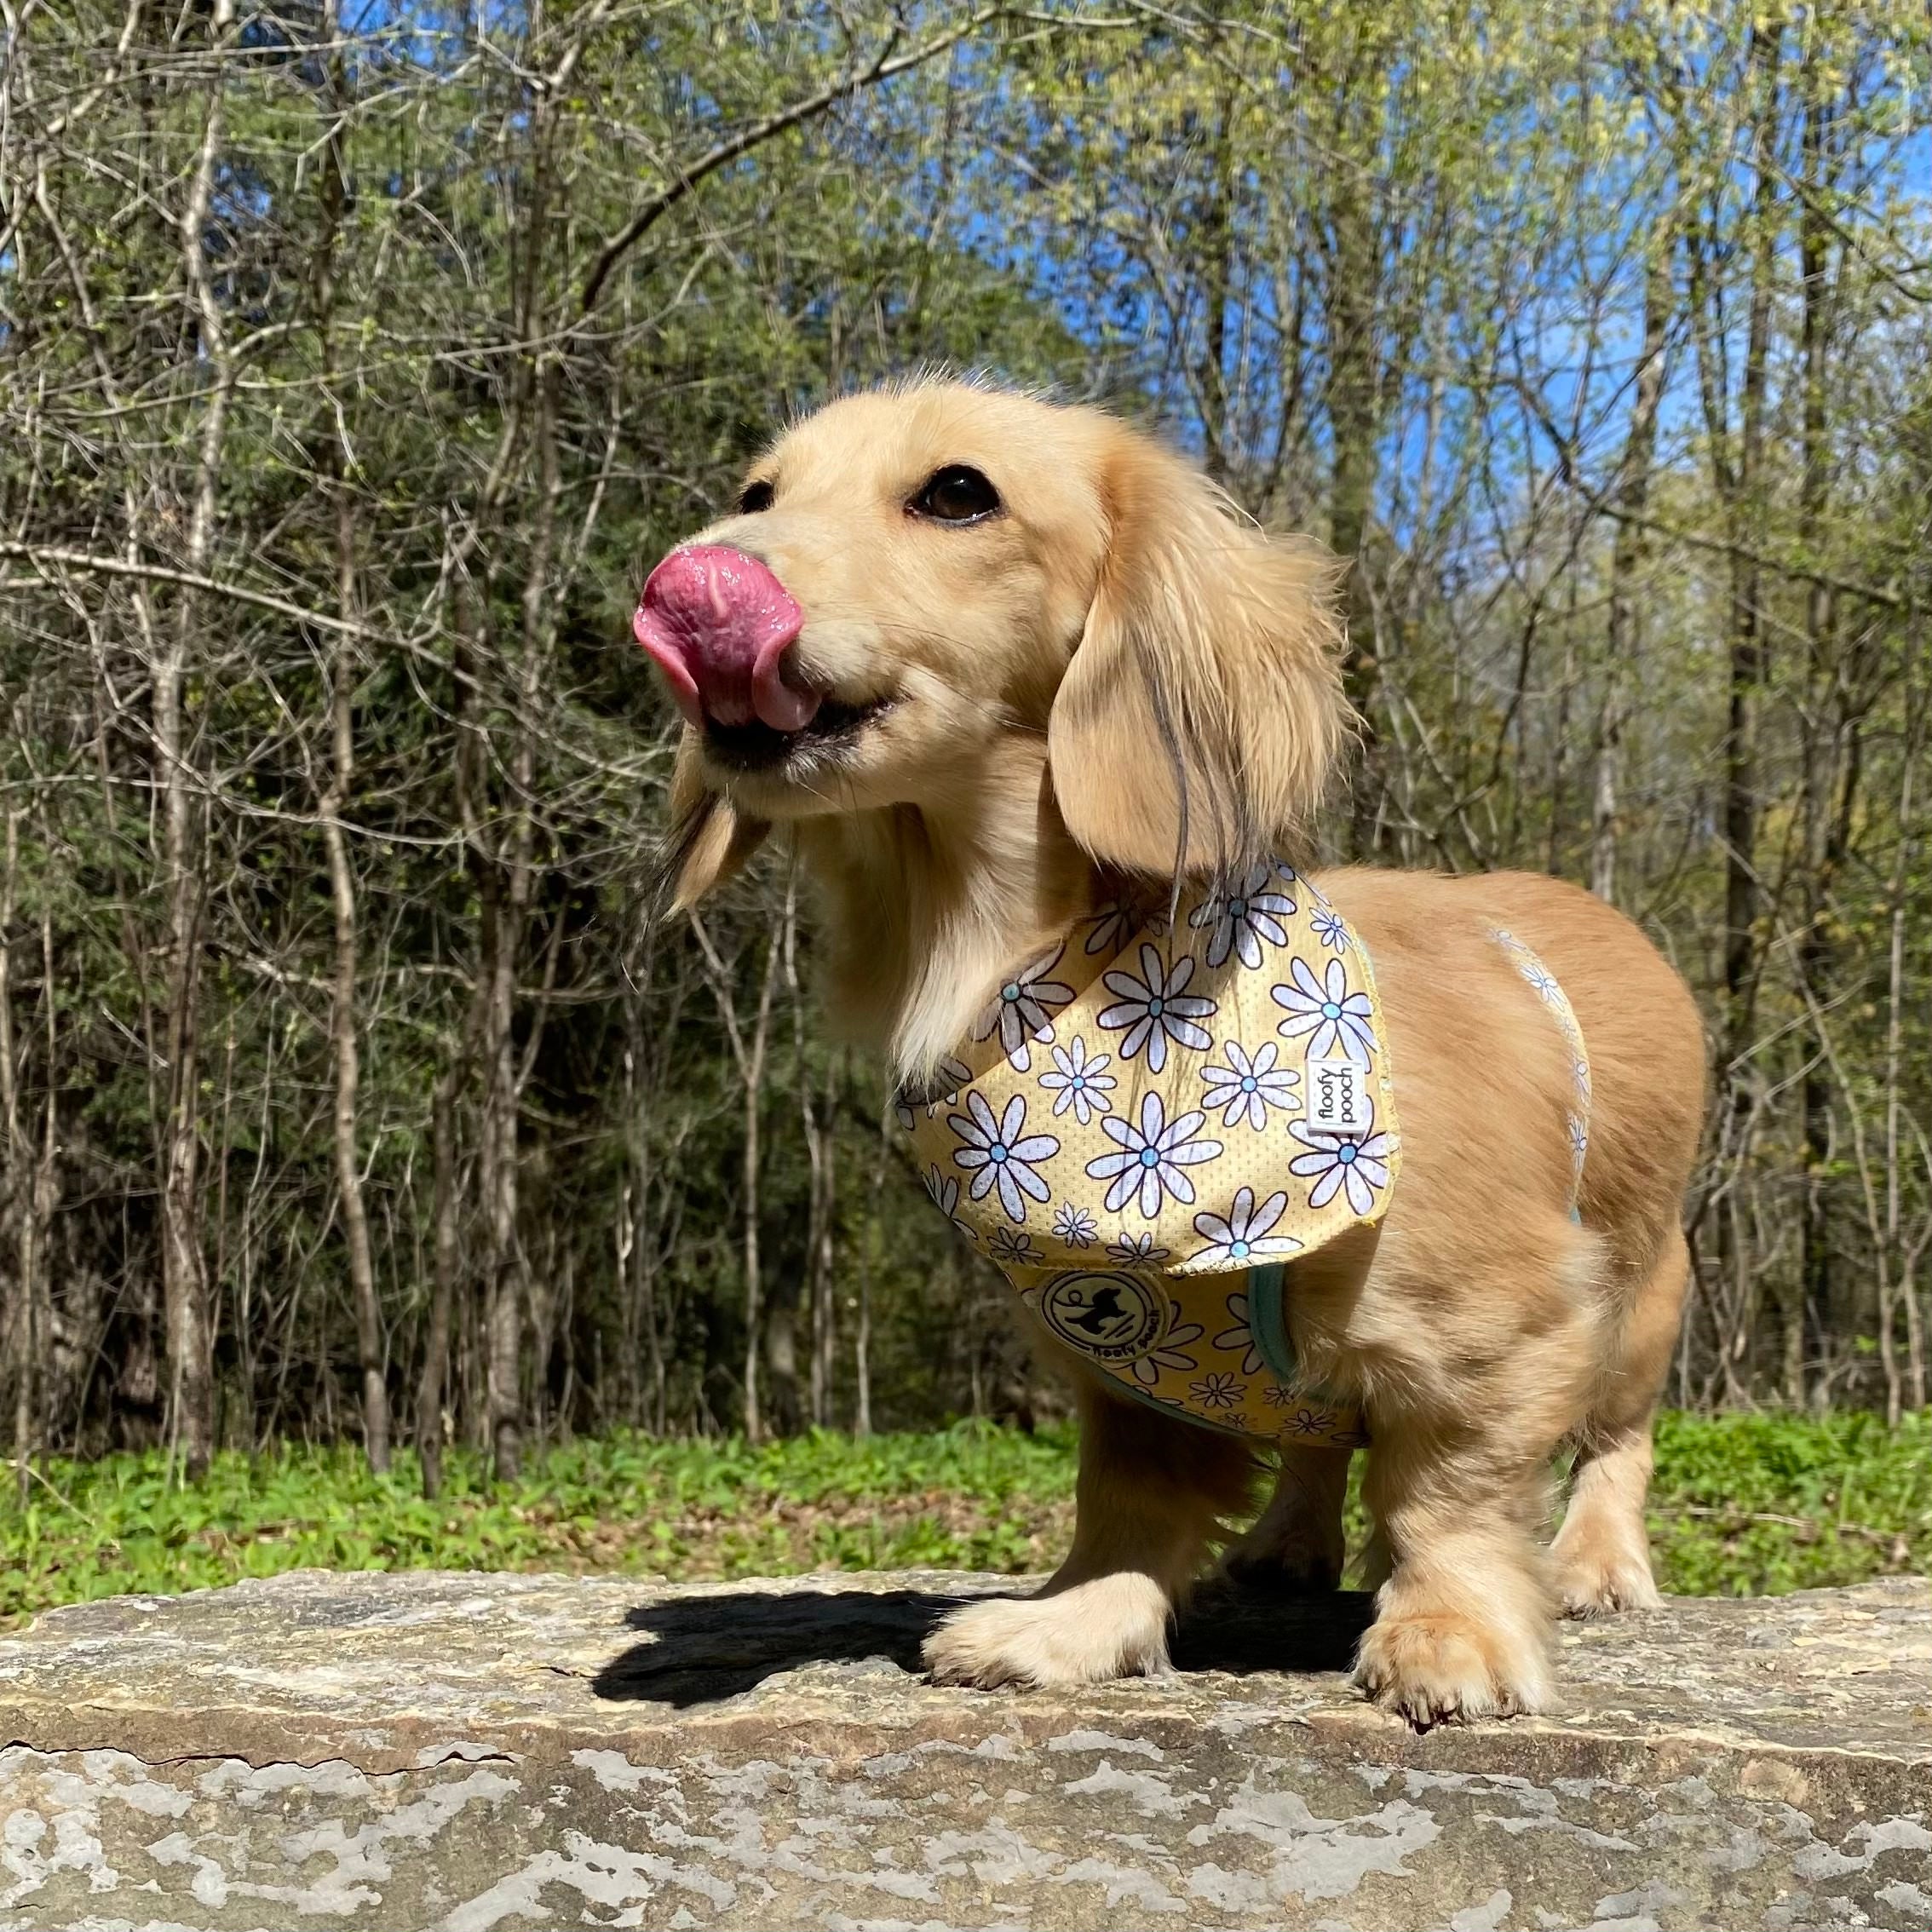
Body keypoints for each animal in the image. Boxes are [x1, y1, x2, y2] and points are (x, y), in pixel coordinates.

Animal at [637, 372, 1707, 1723]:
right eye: (757, 491)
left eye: (957, 493)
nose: (691, 577)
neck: (1073, 992)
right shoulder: (1122, 1355)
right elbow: (1132, 1503)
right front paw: (1075, 1625)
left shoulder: (1506, 1328)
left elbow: (1449, 1495)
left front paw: (1450, 1636)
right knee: (1315, 1438)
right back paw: (1288, 1547)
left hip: (1642, 1296)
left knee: (1615, 1439)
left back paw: (1598, 1566)